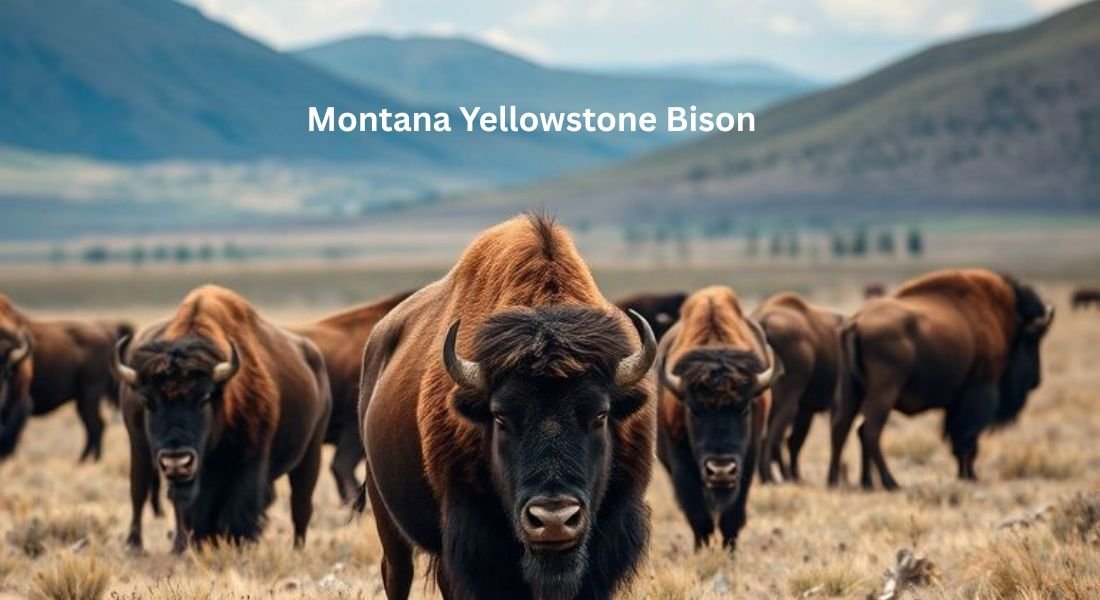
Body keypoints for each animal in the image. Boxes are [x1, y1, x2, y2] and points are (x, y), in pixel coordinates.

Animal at [0, 294, 132, 461]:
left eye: (6, 372)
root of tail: (106, 331)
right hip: (83, 399)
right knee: (93, 427)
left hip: (89, 395)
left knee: (96, 425)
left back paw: (87, 460)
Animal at [116, 285, 332, 552]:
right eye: (148, 401)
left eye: (205, 397)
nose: (177, 460)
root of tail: (314, 360)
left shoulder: (250, 461)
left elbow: (238, 508)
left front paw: (237, 545)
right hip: (140, 449)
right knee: (139, 491)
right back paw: (140, 544)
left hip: (311, 452)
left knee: (301, 506)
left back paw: (297, 549)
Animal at [656, 286, 777, 549]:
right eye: (693, 409)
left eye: (744, 408)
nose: (720, 470)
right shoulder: (681, 463)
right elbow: (698, 516)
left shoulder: (747, 462)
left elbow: (732, 517)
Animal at [753, 293, 843, 483]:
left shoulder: (806, 410)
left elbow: (794, 442)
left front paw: (793, 475)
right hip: (788, 404)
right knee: (772, 438)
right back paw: (769, 476)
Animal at [828, 269, 1053, 490]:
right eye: (1033, 339)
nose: (1036, 380)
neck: (1001, 314)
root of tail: (857, 322)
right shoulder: (979, 391)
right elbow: (967, 438)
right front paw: (970, 476)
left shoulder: (955, 403)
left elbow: (957, 438)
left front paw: (965, 475)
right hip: (883, 393)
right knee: (870, 432)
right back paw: (891, 482)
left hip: (852, 390)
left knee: (843, 428)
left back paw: (848, 481)